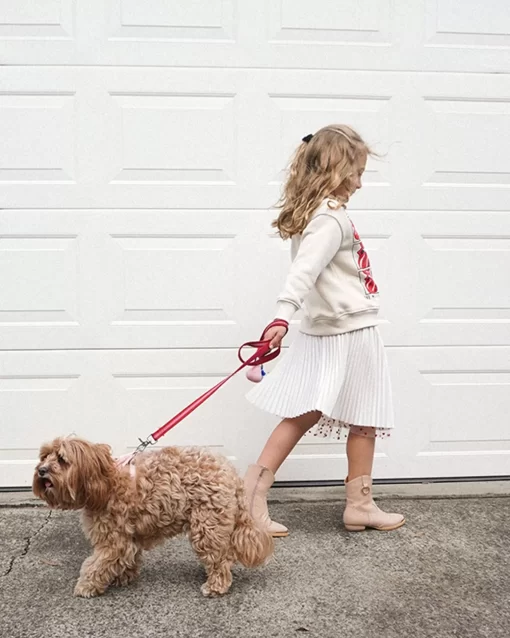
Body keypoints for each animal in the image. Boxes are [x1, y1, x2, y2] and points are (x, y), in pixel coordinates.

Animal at [32, 440, 274, 600]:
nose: (41, 470)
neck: (105, 482)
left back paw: (215, 585)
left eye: (62, 459)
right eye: (44, 456)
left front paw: (86, 586)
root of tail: (231, 473)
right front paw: (123, 576)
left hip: (206, 526)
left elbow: (96, 564)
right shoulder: (129, 537)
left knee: (220, 559)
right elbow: (127, 558)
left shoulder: (113, 541)